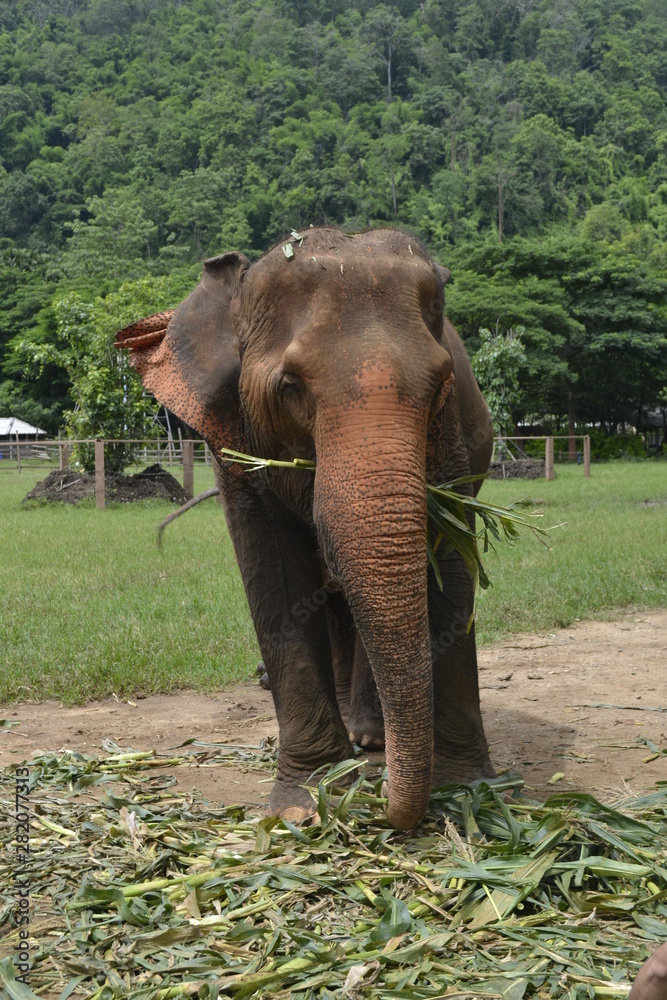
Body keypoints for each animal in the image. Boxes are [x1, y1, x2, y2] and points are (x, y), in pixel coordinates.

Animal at [115, 227, 495, 831]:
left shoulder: (453, 440)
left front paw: (468, 790)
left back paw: (370, 737)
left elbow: (450, 559)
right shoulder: (234, 448)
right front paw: (306, 803)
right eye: (291, 386)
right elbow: (276, 571)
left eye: (442, 382)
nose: (384, 806)